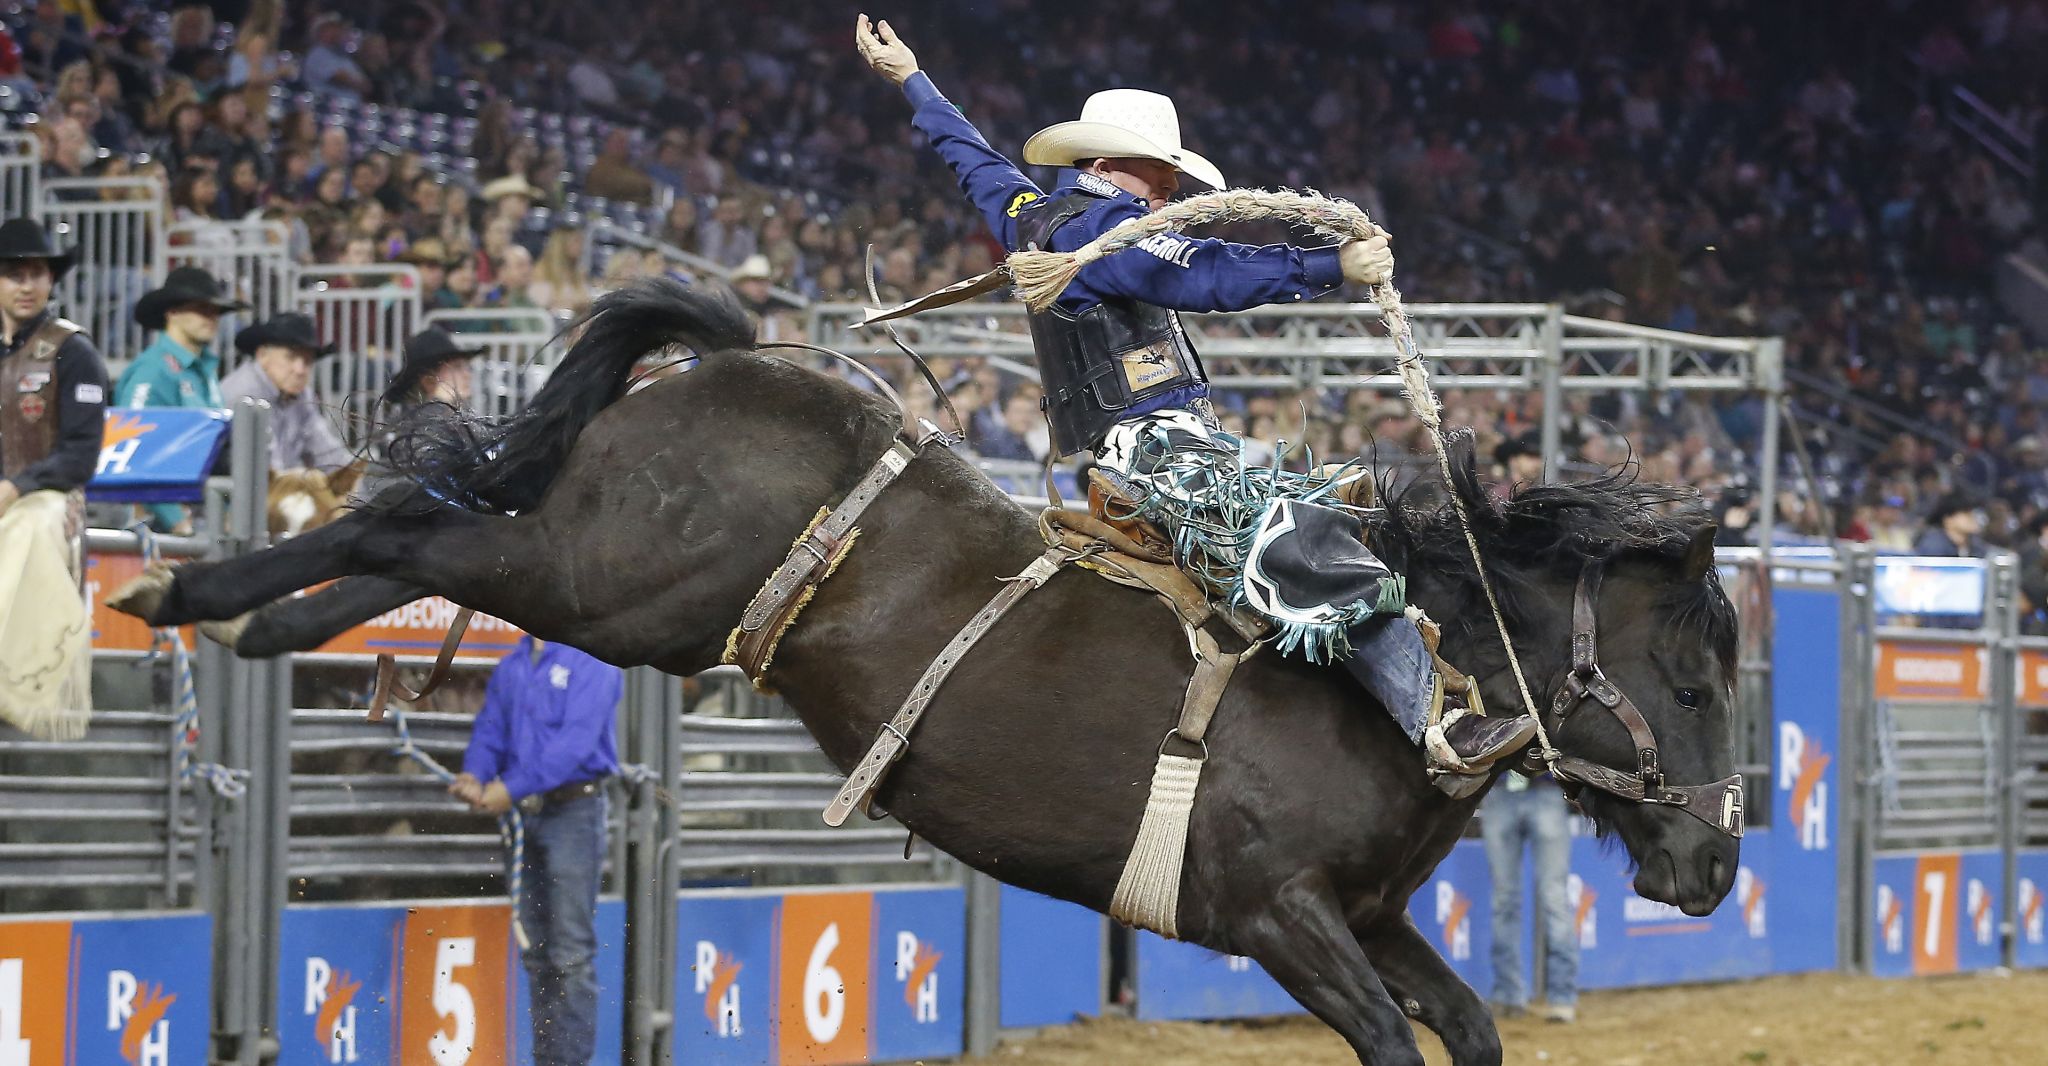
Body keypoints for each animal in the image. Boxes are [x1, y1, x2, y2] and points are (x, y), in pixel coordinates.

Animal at [116, 276, 1744, 1063]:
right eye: (1696, 678)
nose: (1716, 869)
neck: (1391, 686)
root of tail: (743, 355)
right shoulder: (1278, 915)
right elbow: (1402, 1045)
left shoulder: (1375, 916)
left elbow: (1465, 1025)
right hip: (613, 584)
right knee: (411, 520)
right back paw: (191, 587)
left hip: (602, 577)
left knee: (424, 533)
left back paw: (248, 622)